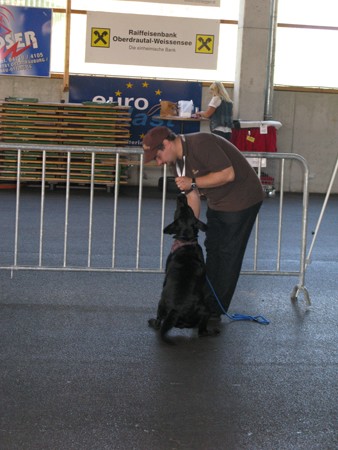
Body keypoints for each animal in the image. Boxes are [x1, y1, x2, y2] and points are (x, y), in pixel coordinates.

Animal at [148, 193, 219, 344]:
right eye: (189, 209)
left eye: (182, 208)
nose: (181, 195)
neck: (186, 240)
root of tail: (176, 310)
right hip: (205, 310)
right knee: (201, 330)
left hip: (161, 303)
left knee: (159, 322)